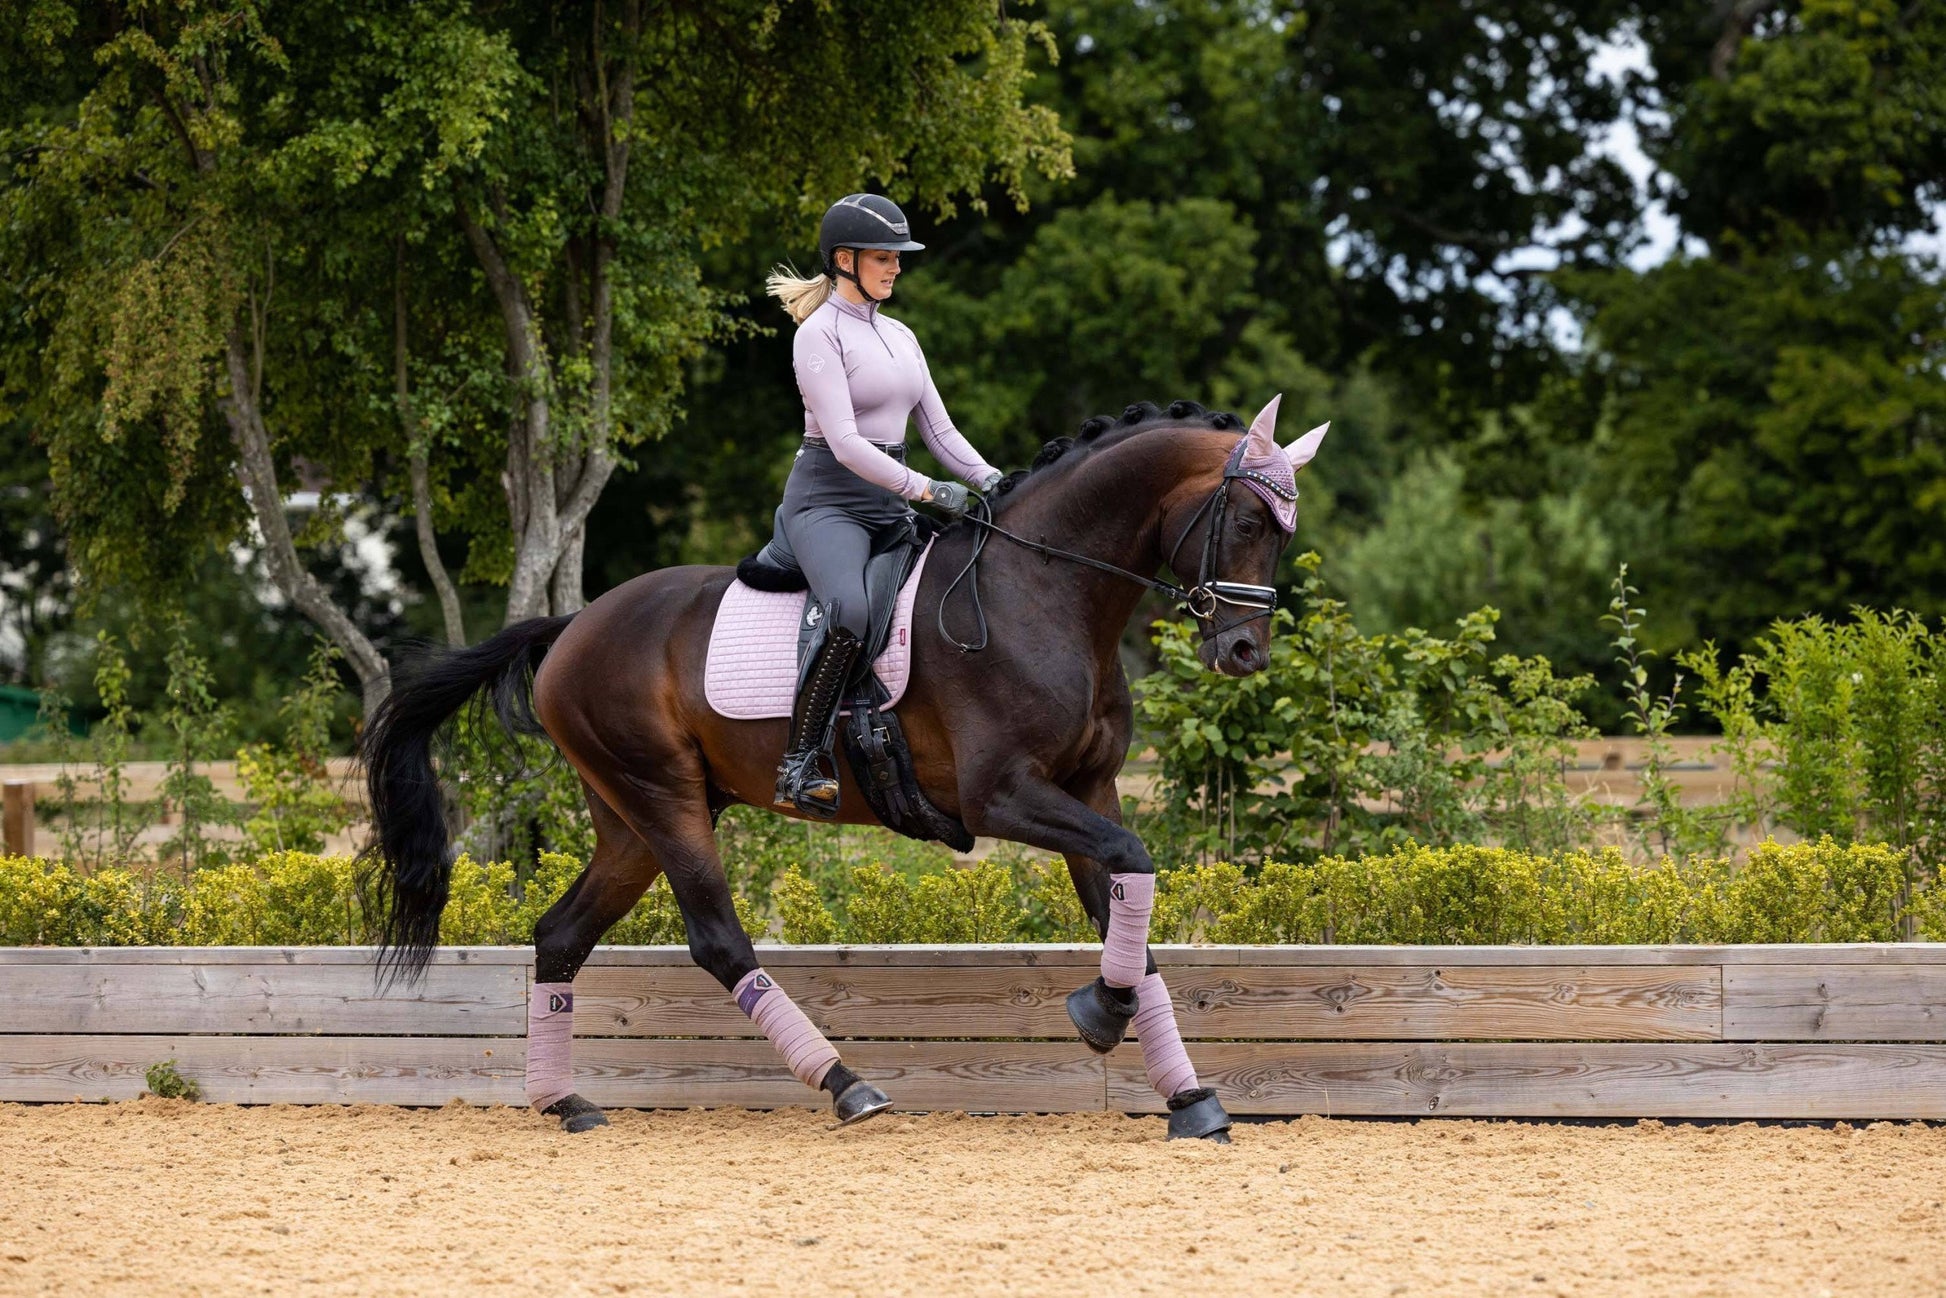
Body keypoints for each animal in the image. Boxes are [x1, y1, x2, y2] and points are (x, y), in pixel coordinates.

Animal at [359, 394, 1327, 1139]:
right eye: (1247, 521)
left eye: (1285, 533)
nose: (1244, 652)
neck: (1045, 590)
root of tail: (571, 626)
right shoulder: (1003, 796)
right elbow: (1134, 863)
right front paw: (1101, 1015)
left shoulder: (1090, 790)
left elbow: (1130, 901)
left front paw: (1186, 1093)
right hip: (663, 797)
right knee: (717, 939)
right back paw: (845, 1086)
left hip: (630, 821)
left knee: (560, 936)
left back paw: (563, 1102)